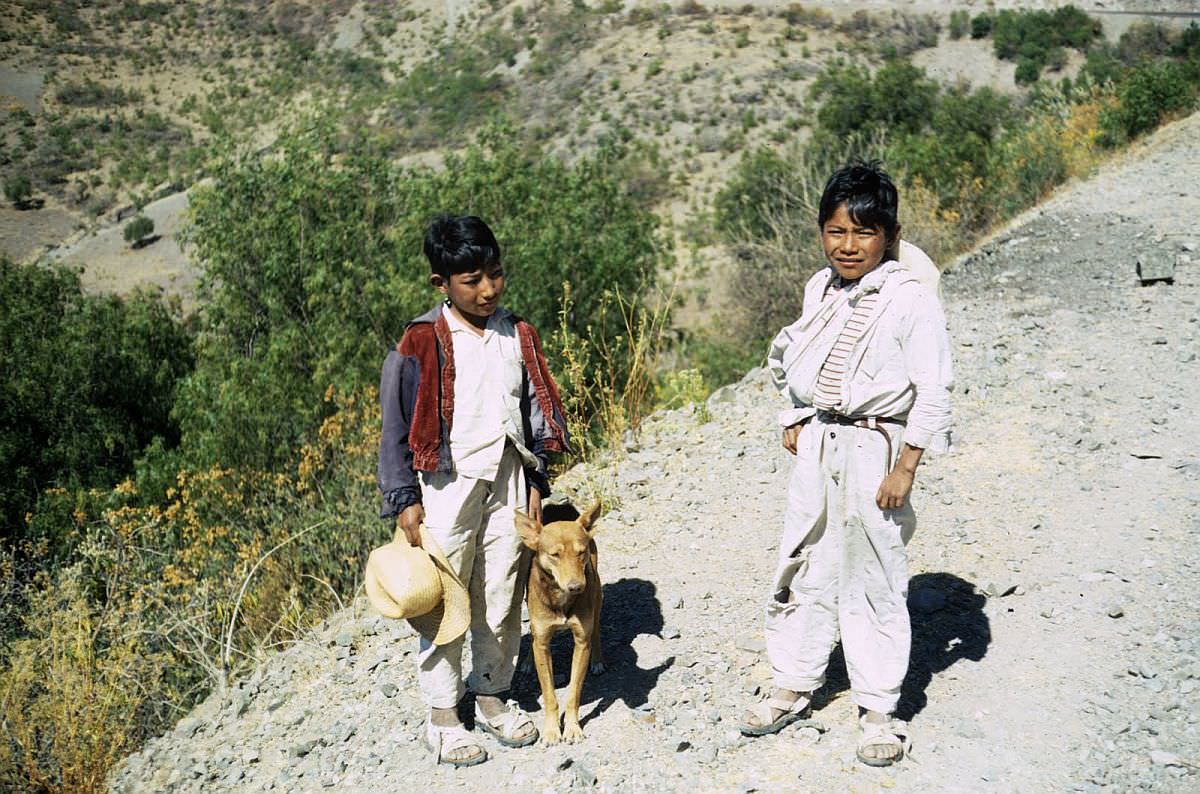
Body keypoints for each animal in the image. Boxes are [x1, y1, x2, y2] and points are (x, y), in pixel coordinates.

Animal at [516, 503, 609, 748]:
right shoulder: (543, 642)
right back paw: (527, 662)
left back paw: (598, 661)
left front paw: (572, 728)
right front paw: (550, 730)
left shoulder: (581, 642)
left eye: (581, 552)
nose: (577, 587)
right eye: (554, 555)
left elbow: (573, 693)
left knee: (596, 629)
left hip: (597, 594)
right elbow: (549, 694)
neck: (560, 599)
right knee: (531, 634)